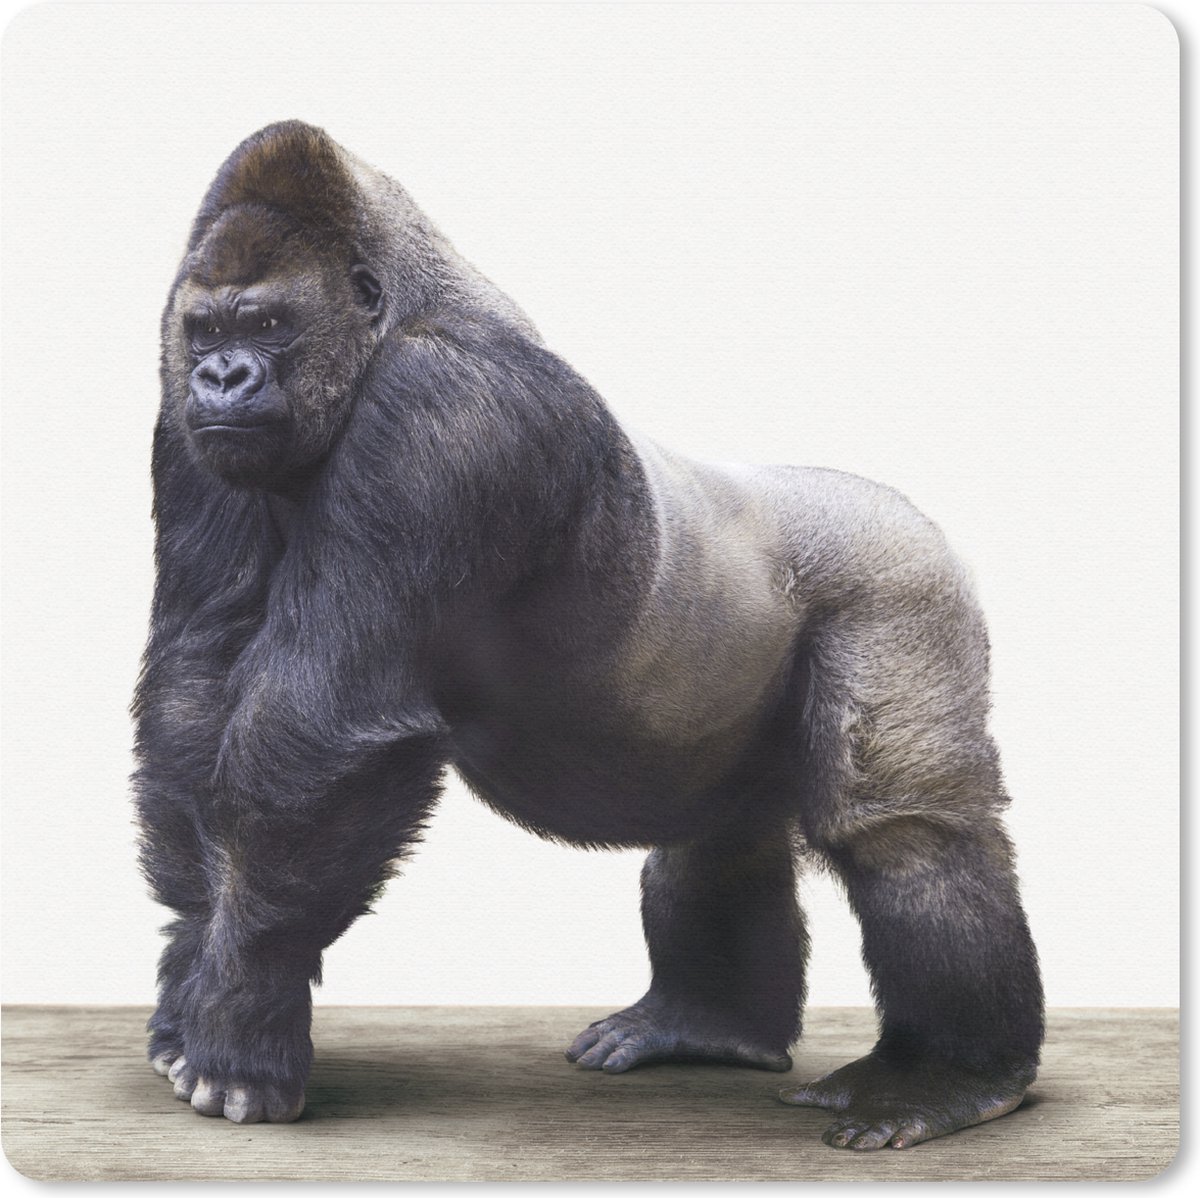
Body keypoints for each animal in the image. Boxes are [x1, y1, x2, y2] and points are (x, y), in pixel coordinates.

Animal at [133, 121, 1043, 1147]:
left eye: (268, 326)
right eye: (207, 331)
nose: (221, 375)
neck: (395, 314)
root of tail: (897, 506)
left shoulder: (447, 414)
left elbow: (322, 732)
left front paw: (243, 1015)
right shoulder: (183, 431)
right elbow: (194, 693)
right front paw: (190, 982)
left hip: (901, 578)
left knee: (904, 829)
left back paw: (951, 1075)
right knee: (723, 832)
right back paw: (710, 1025)